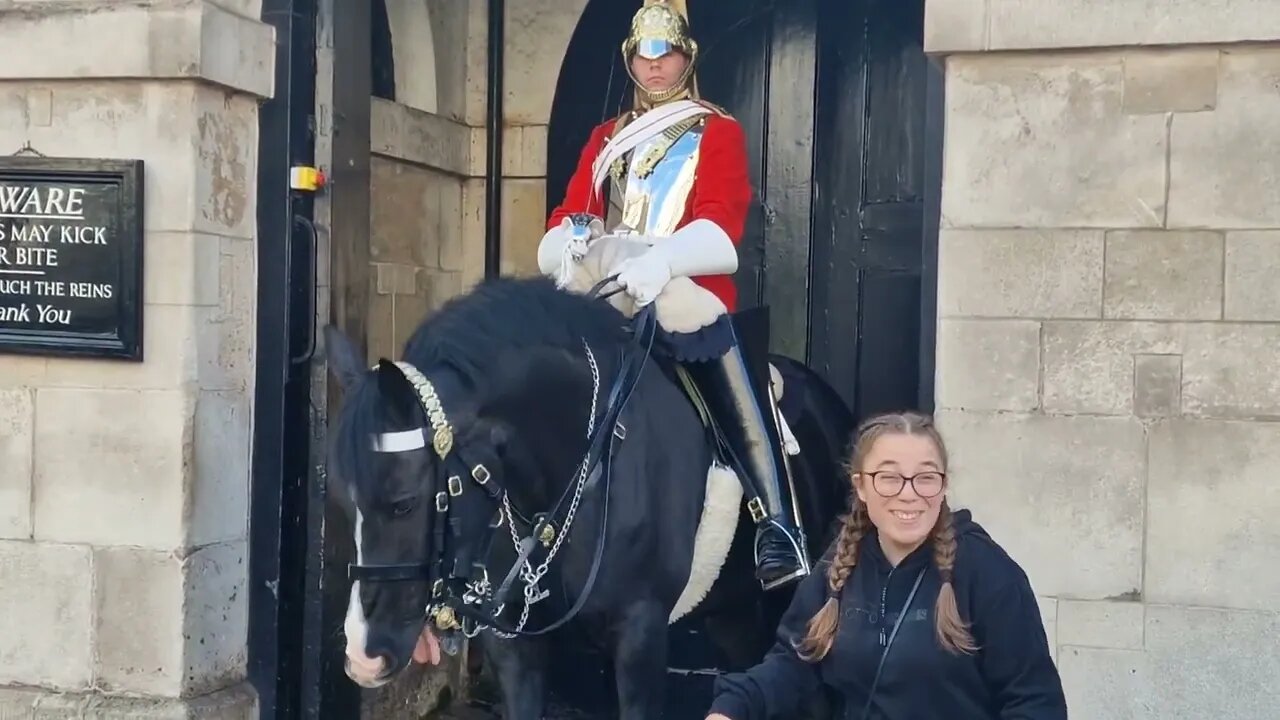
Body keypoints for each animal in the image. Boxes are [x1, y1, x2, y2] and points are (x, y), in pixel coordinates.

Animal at [325, 271, 855, 712]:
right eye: (344, 501)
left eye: (404, 502)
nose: (362, 656)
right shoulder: (515, 644)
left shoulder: (640, 636)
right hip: (736, 614)